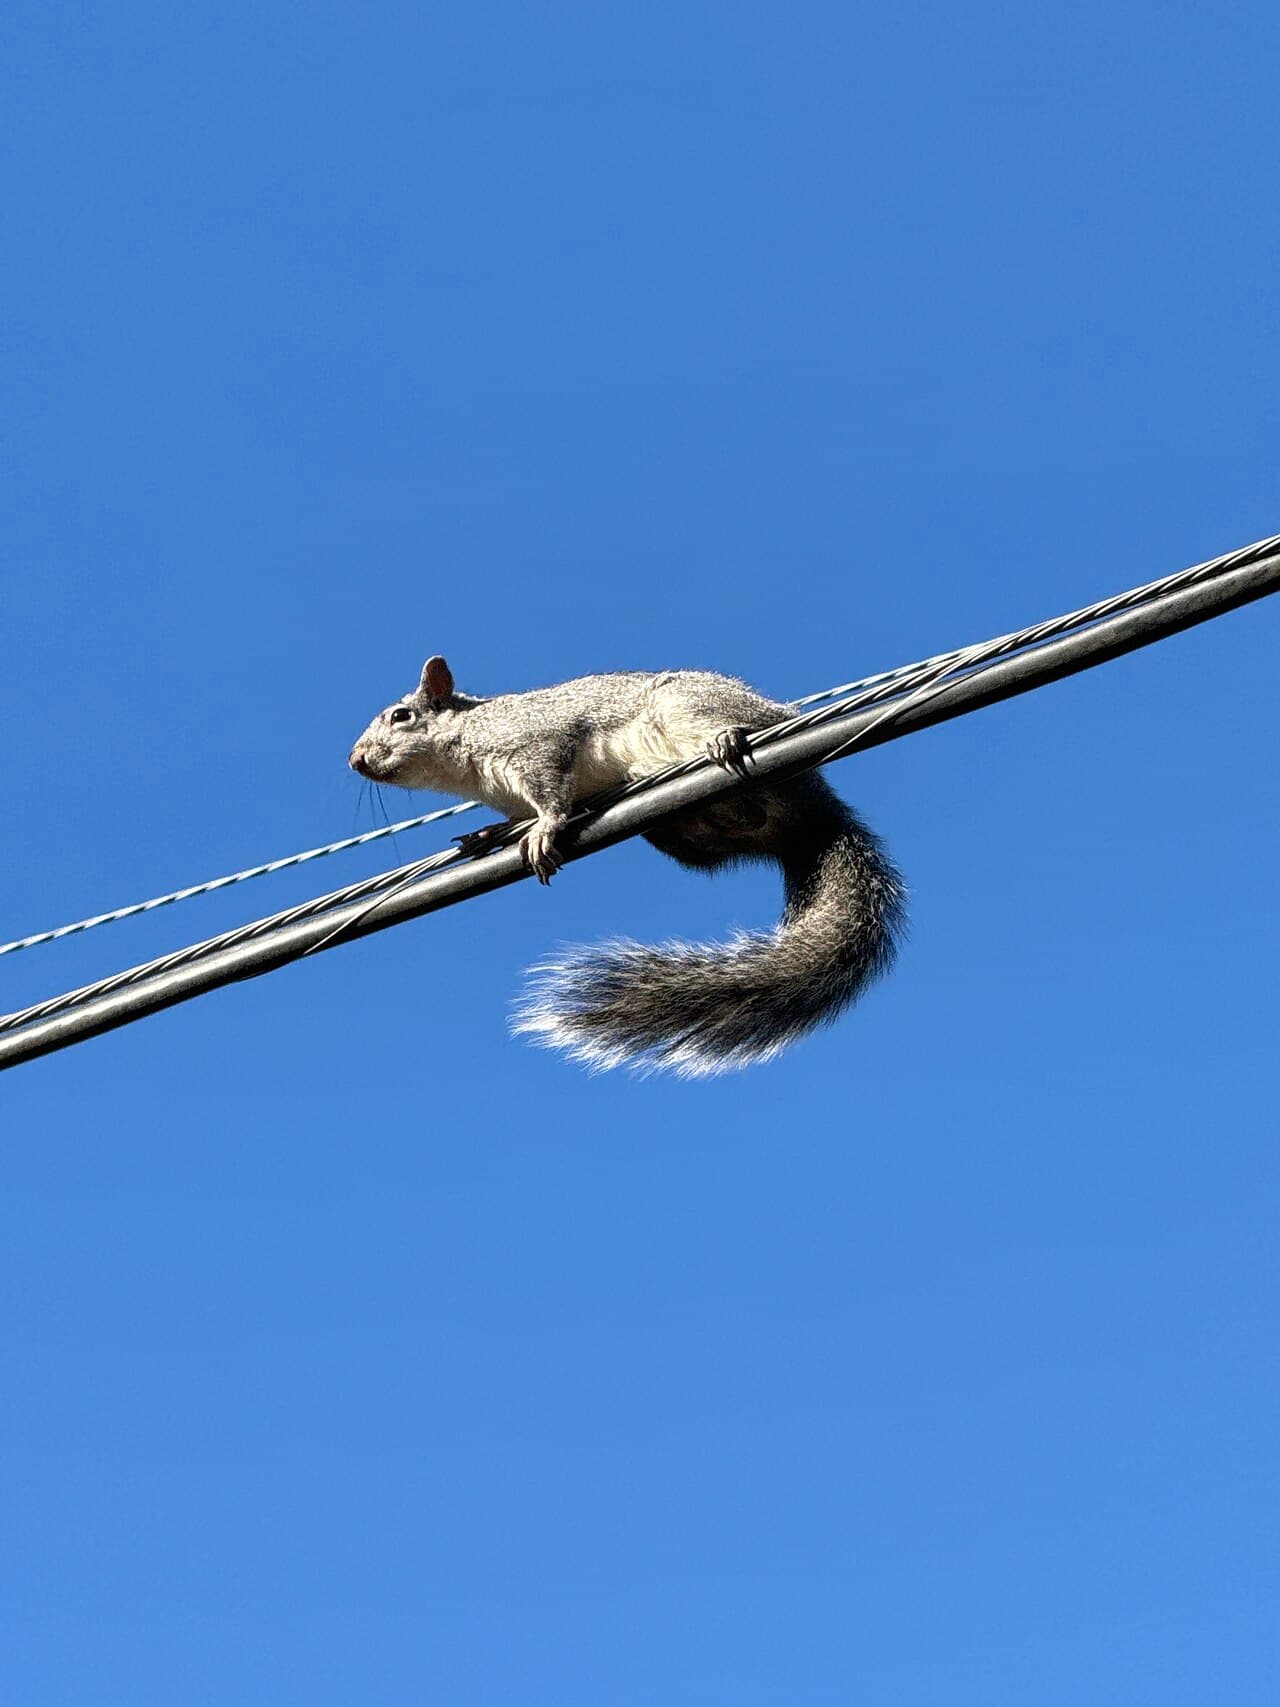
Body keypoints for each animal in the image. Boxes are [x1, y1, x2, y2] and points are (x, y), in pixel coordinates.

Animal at [349, 656, 905, 1076]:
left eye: (401, 716)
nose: (356, 760)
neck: (469, 760)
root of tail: (816, 815)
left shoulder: (537, 745)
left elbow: (552, 794)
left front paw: (545, 829)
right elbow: (513, 819)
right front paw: (486, 835)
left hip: (689, 705)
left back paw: (726, 739)